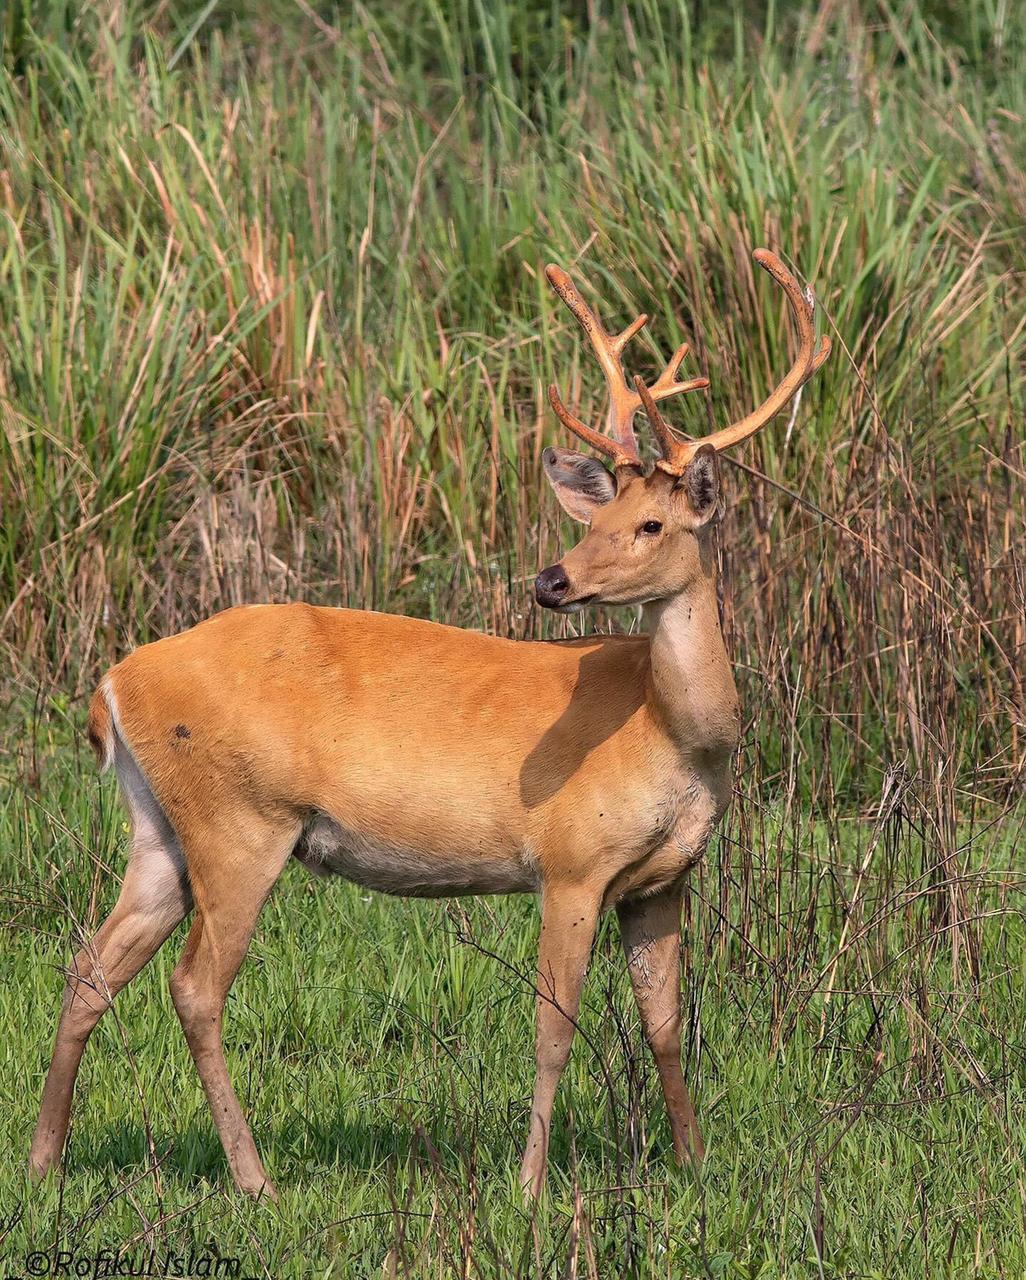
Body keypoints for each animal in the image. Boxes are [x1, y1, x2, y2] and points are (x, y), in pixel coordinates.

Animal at [27, 247, 828, 1198]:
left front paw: (694, 1164)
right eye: (592, 518)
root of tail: (112, 685)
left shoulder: (663, 878)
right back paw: (255, 1180)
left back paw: (43, 1160)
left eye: (650, 523)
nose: (551, 581)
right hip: (240, 817)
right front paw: (529, 1186)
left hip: (159, 827)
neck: (675, 734)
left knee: (89, 968)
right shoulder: (571, 860)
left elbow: (666, 1022)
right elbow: (554, 1026)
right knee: (194, 987)